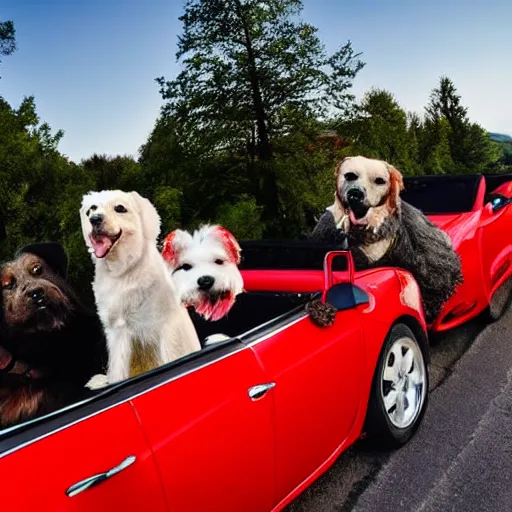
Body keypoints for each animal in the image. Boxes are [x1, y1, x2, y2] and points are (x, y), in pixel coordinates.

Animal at [79, 190, 200, 390]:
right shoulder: (118, 331)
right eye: (92, 209)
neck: (123, 271)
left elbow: (171, 356)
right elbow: (118, 370)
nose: (94, 219)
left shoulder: (165, 325)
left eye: (120, 208)